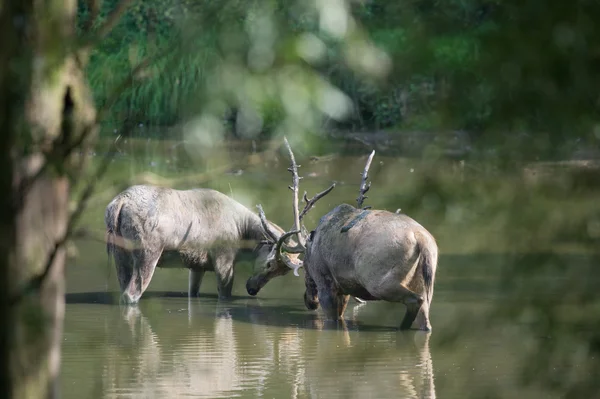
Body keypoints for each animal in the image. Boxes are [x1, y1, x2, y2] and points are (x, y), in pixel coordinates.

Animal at [106, 185, 290, 306]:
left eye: (283, 272)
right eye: (270, 264)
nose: (252, 289)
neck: (244, 234)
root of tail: (118, 202)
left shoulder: (197, 265)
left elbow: (193, 292)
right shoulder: (224, 259)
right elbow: (225, 294)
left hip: (120, 252)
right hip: (147, 251)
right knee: (131, 294)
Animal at [255, 143, 438, 332]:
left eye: (305, 269)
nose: (309, 301)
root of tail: (421, 239)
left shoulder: (325, 282)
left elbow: (333, 320)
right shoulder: (344, 289)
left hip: (378, 281)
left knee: (414, 300)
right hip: (423, 281)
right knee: (425, 321)